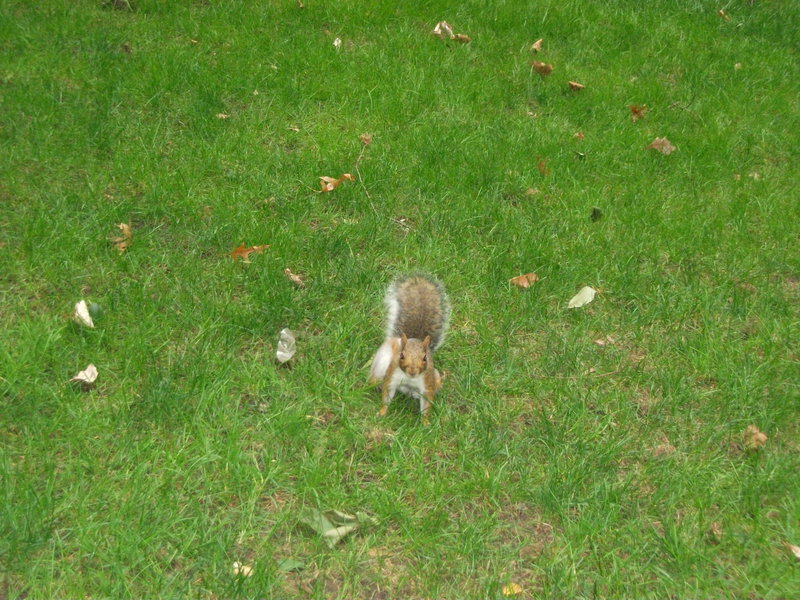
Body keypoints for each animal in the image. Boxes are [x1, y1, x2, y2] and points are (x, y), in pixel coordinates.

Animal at [368, 274, 450, 424]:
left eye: (425, 358)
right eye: (401, 355)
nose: (412, 370)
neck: (410, 378)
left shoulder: (427, 383)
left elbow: (426, 403)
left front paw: (426, 423)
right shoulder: (392, 375)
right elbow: (387, 394)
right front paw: (382, 413)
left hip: (435, 377)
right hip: (382, 361)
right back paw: (375, 383)